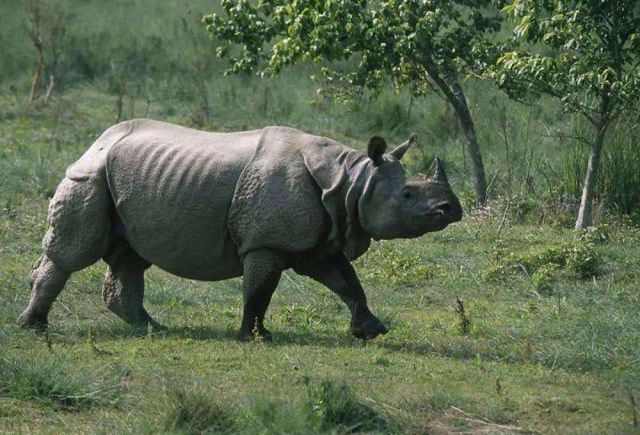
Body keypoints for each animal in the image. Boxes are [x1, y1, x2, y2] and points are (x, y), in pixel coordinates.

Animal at [18, 119, 462, 340]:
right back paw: (34, 327)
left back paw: (154, 329)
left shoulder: (320, 239)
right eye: (407, 194)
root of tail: (95, 141)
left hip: (125, 177)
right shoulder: (266, 242)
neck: (351, 181)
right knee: (73, 254)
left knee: (131, 255)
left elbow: (347, 281)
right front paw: (254, 337)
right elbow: (259, 289)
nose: (452, 209)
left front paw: (371, 331)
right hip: (90, 175)